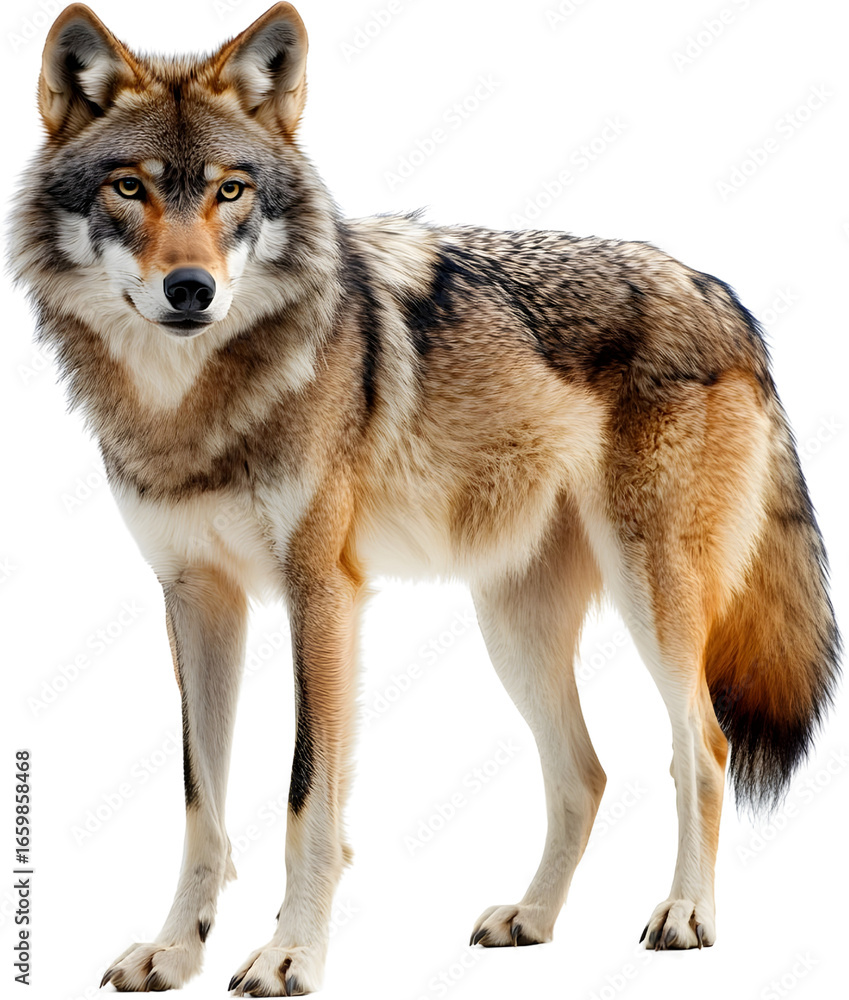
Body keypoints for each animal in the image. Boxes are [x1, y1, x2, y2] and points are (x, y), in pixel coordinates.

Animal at [11, 2, 840, 996]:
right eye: (130, 188)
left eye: (231, 191)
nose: (191, 290)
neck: (188, 410)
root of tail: (729, 299)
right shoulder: (194, 599)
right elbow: (199, 801)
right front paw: (176, 950)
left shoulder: (321, 593)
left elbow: (305, 798)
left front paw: (290, 953)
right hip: (511, 627)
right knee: (584, 773)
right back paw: (531, 918)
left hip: (654, 600)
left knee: (700, 747)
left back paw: (685, 914)